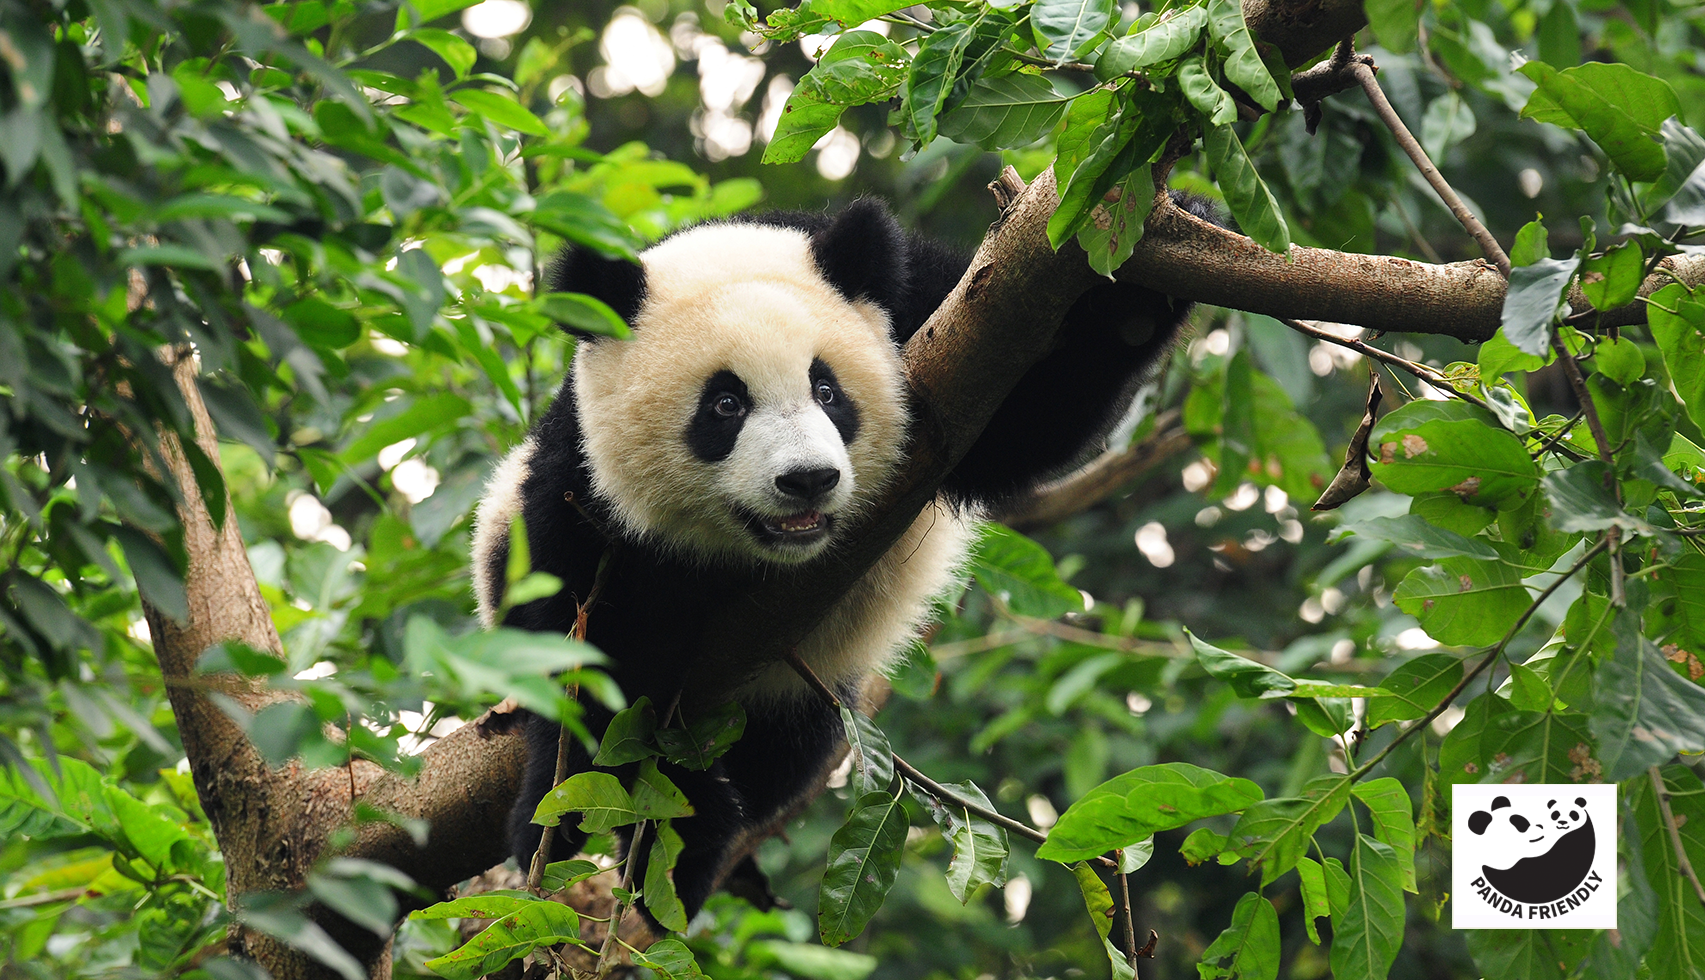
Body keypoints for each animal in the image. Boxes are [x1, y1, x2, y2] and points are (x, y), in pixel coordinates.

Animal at [473, 193, 1207, 927]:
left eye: (827, 390)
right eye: (725, 404)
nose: (807, 480)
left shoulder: (933, 317)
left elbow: (1029, 416)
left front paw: (1152, 263)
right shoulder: (580, 485)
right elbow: (592, 652)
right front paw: (604, 812)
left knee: (782, 755)